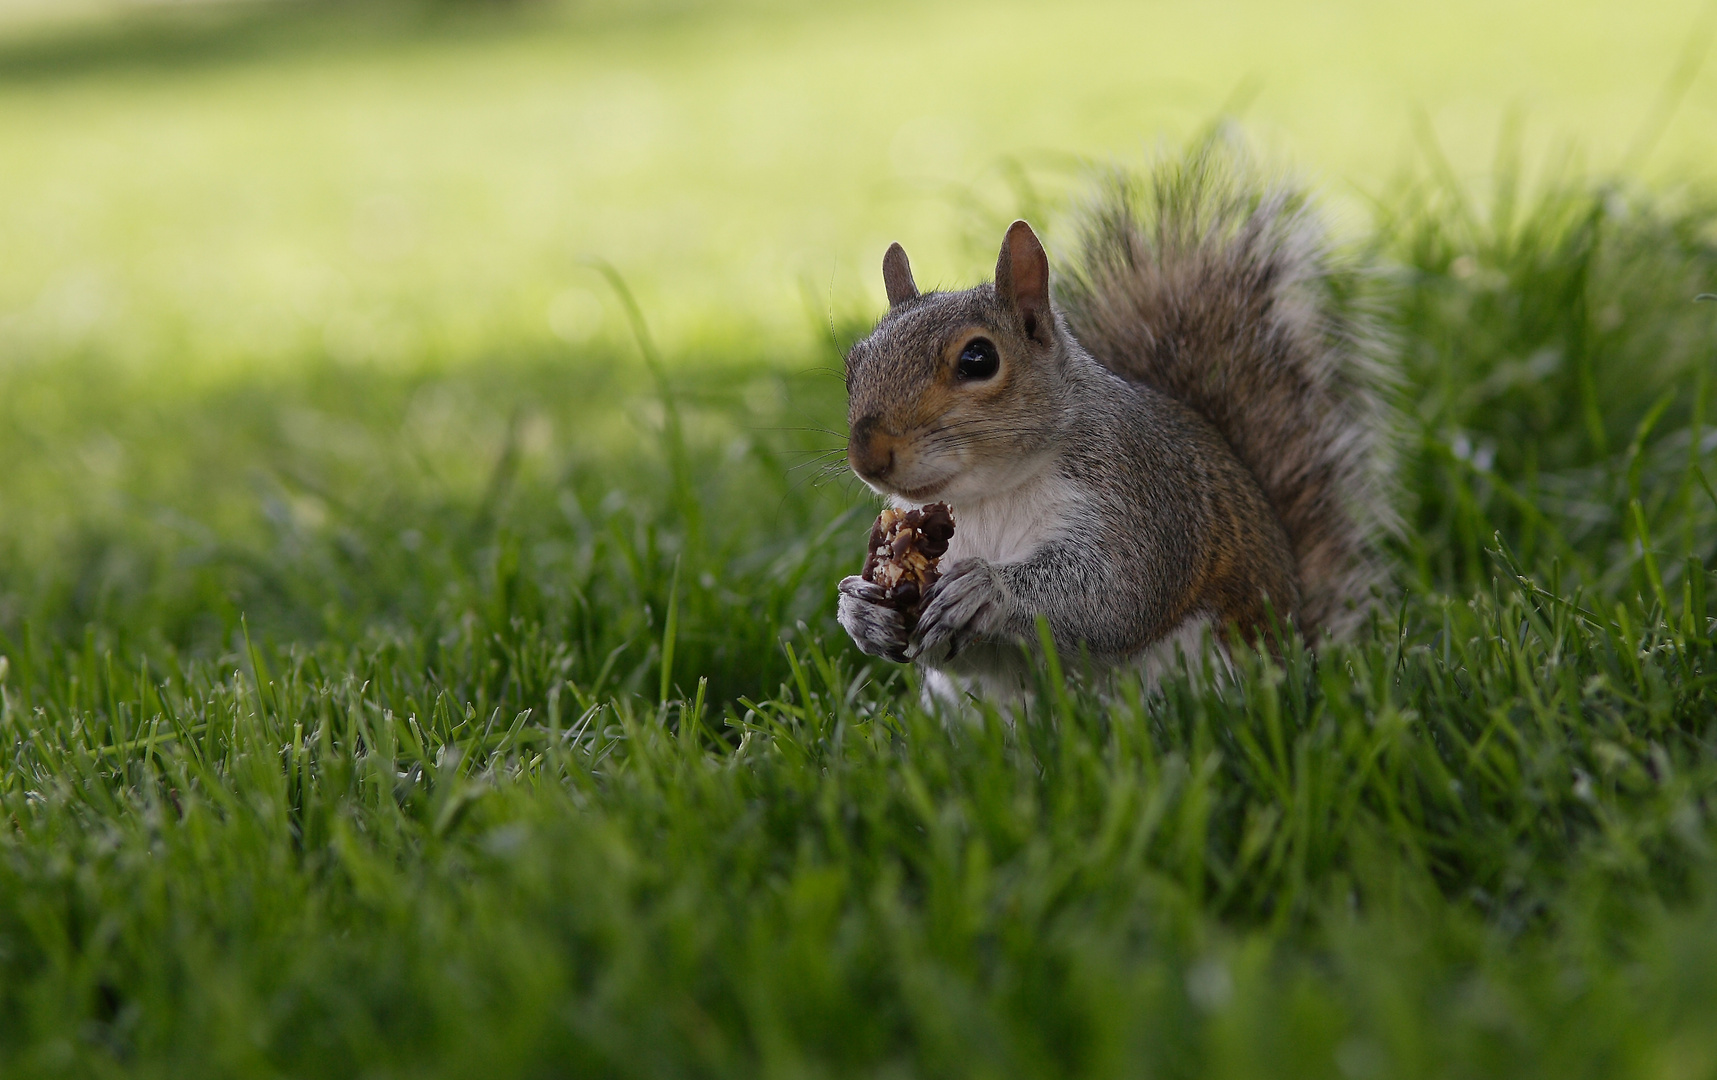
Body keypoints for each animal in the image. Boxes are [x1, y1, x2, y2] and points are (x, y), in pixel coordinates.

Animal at [834, 140, 1394, 700]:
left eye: (979, 359)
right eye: (853, 367)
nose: (867, 456)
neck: (989, 495)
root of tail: (1295, 649)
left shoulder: (1146, 501)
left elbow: (1117, 596)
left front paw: (986, 588)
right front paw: (861, 610)